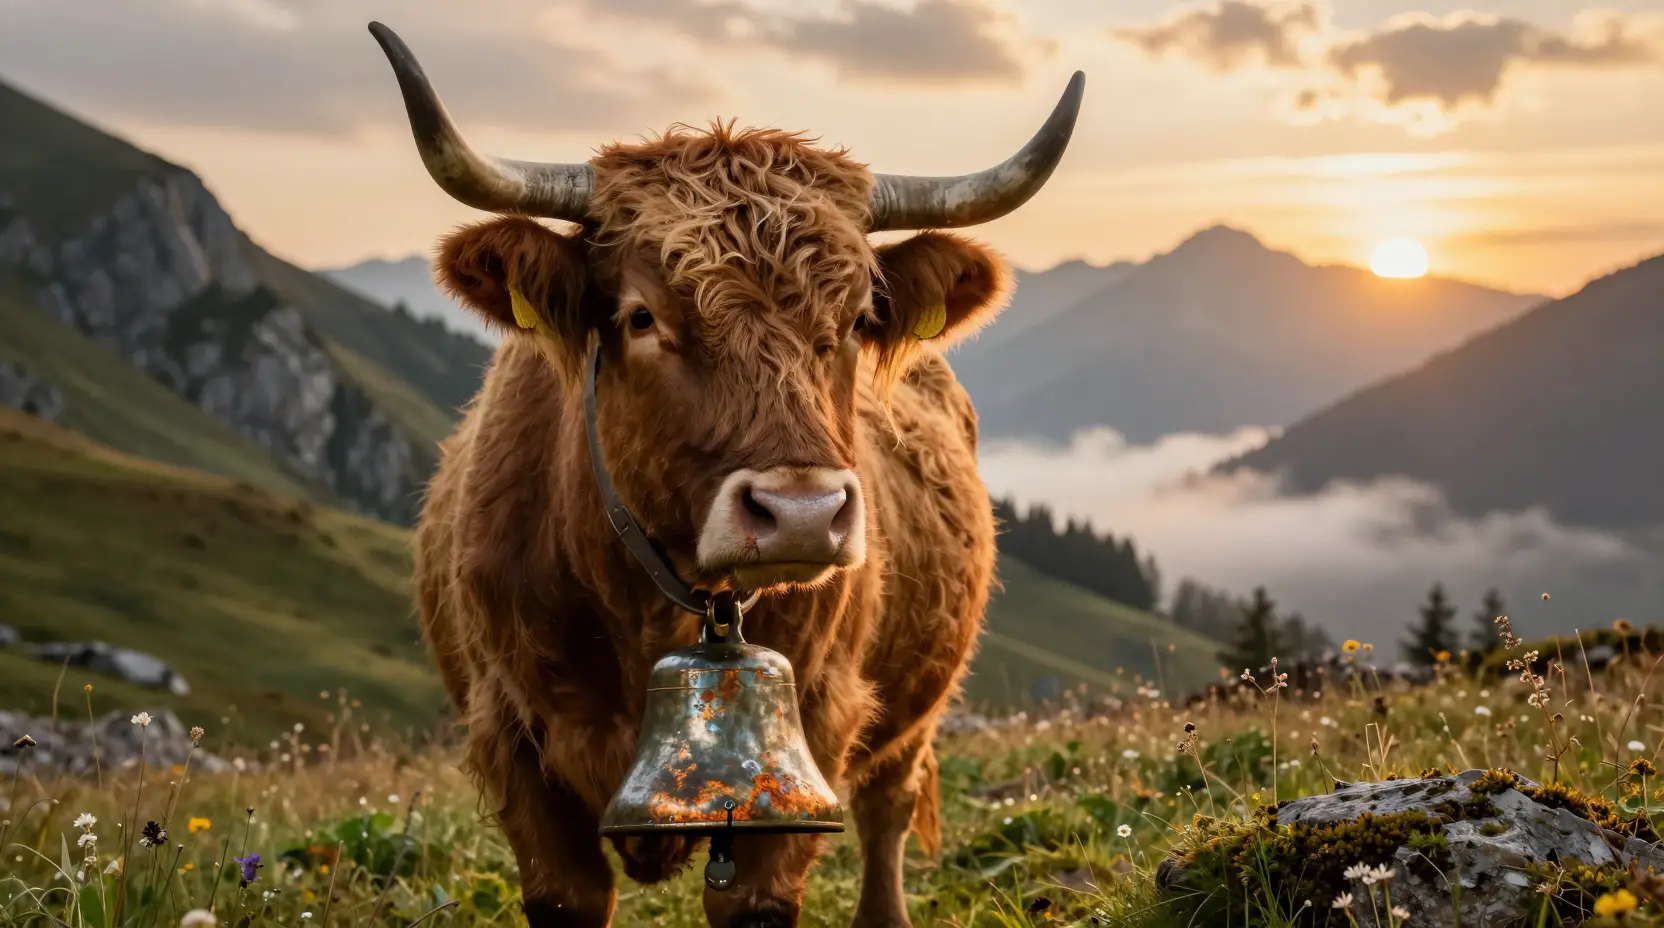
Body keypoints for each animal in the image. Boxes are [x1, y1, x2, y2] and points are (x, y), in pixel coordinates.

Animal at [369, 21, 1084, 928]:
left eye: (858, 317)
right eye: (641, 316)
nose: (802, 511)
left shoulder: (807, 731)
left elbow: (759, 896)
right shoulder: (513, 741)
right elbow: (567, 896)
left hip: (913, 711)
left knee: (887, 813)